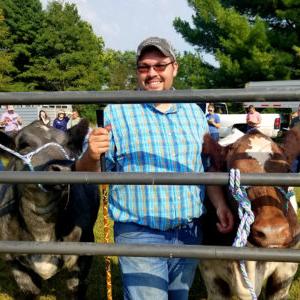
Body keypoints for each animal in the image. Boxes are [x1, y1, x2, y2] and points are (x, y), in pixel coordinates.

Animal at [0, 120, 100, 300]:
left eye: (67, 143)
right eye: (24, 145)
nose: (64, 168)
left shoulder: (83, 257)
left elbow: (76, 288)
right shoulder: (14, 262)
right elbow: (30, 290)